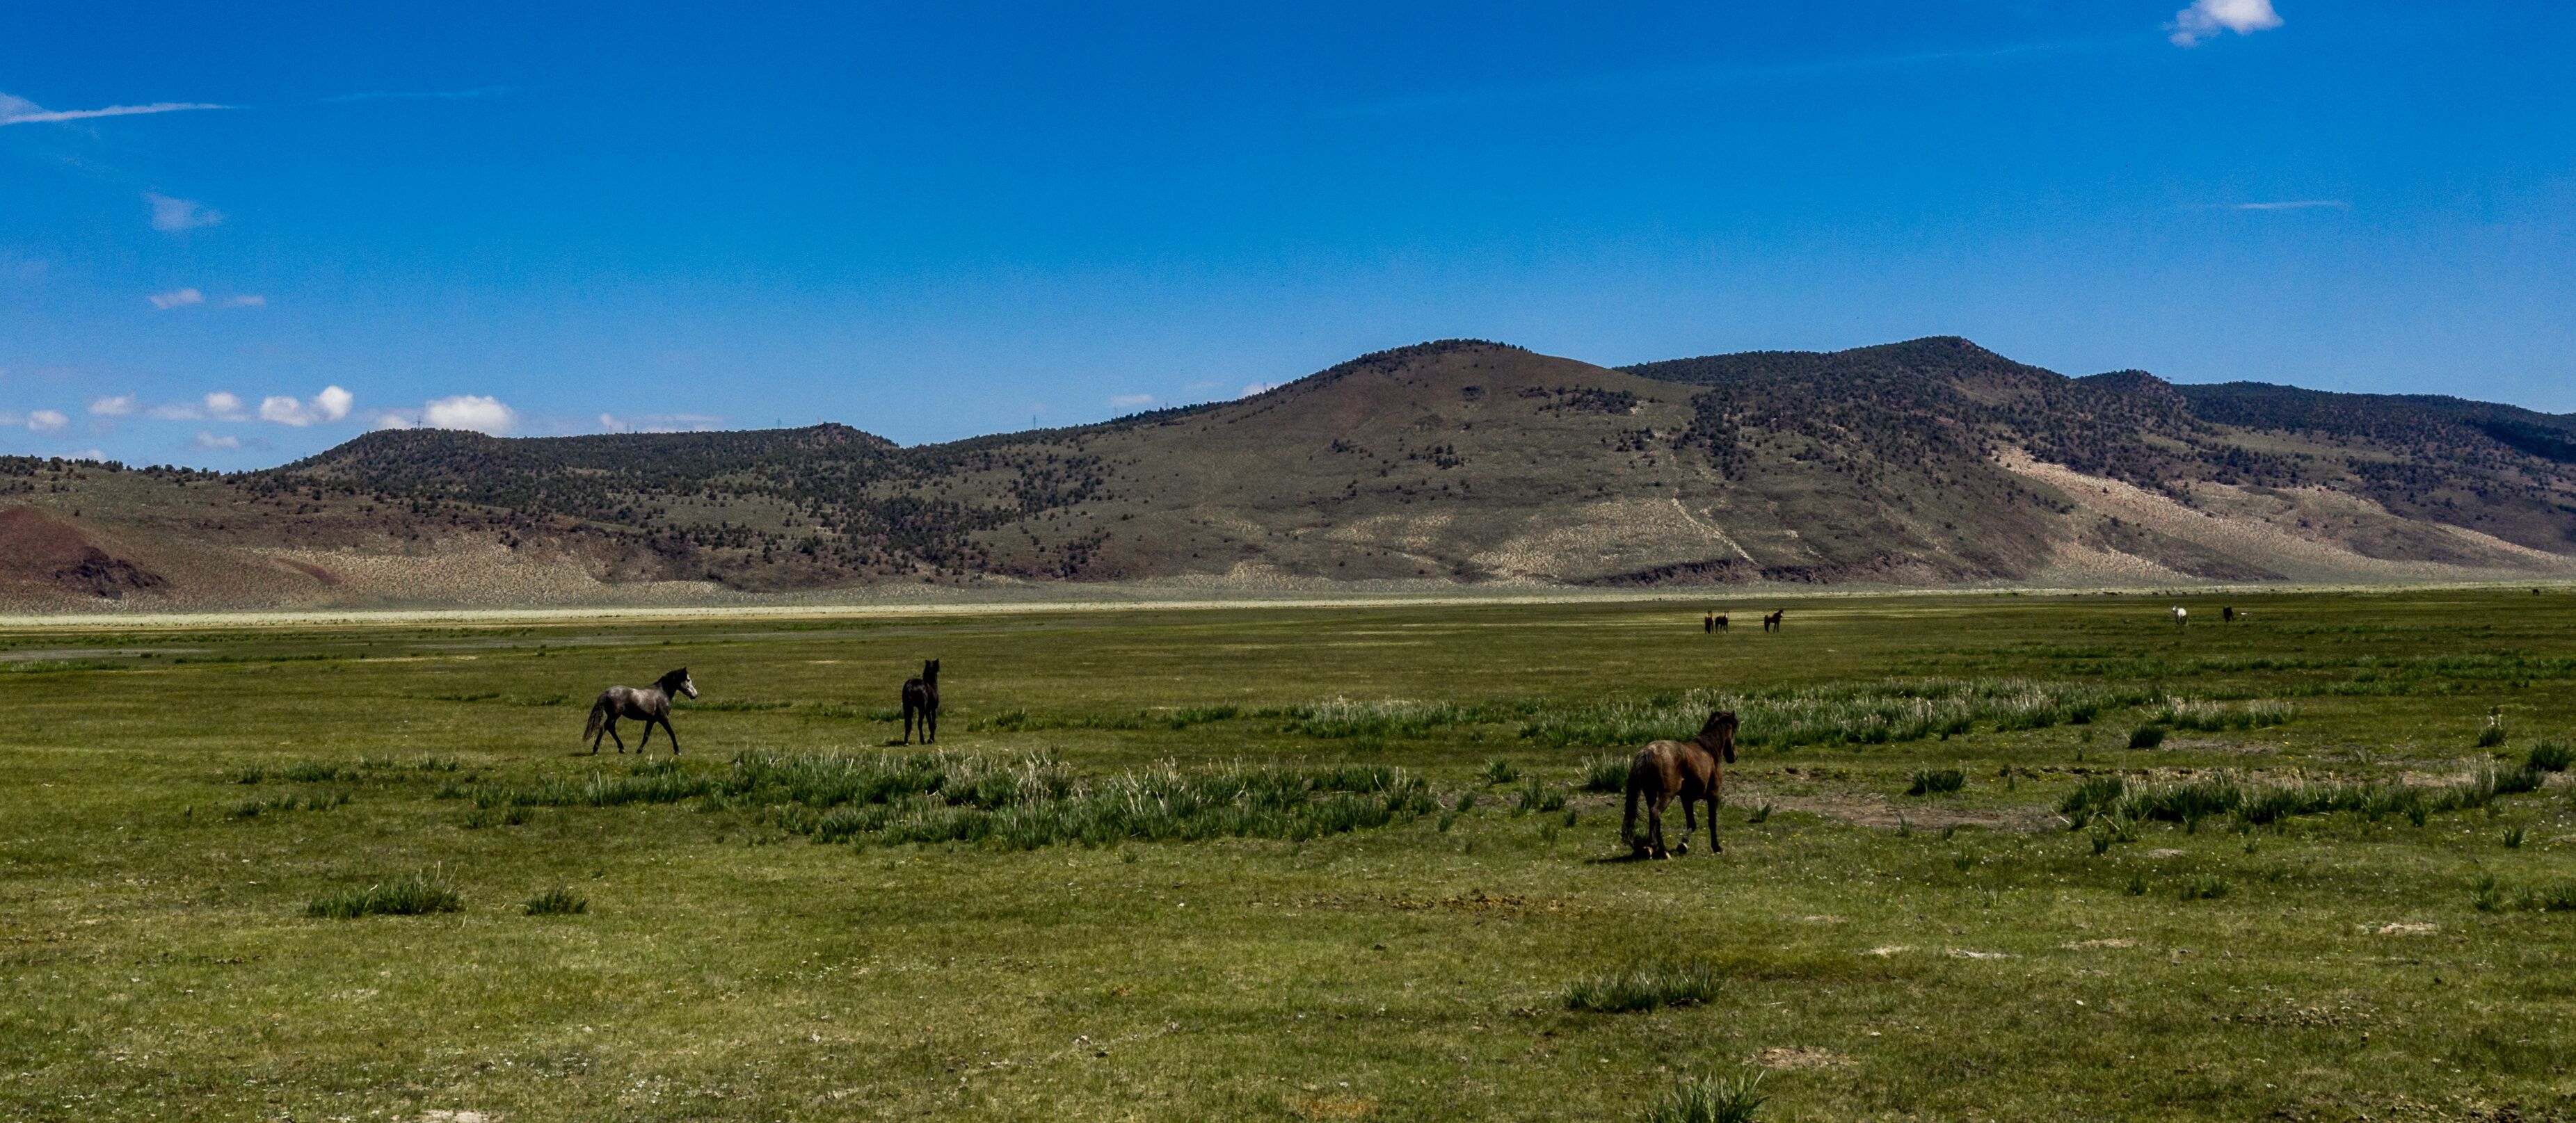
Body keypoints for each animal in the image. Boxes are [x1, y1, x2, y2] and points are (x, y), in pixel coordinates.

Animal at [585, 667, 697, 755]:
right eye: (688, 680)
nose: (695, 695)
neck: (662, 693)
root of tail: (607, 692)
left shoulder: (651, 720)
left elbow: (646, 736)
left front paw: (639, 750)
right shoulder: (663, 718)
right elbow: (671, 733)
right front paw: (677, 751)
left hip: (614, 716)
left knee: (611, 729)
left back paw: (622, 748)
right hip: (614, 716)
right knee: (604, 728)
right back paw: (596, 750)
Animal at [1623, 710, 1738, 859]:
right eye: (1734, 728)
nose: (1734, 756)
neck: (1708, 750)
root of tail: (1648, 752)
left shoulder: (1686, 799)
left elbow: (1692, 823)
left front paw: (1683, 845)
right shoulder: (1713, 796)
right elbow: (1712, 822)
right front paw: (1716, 847)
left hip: (1651, 793)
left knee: (1655, 818)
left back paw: (1659, 850)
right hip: (1667, 794)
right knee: (1655, 812)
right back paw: (1656, 849)